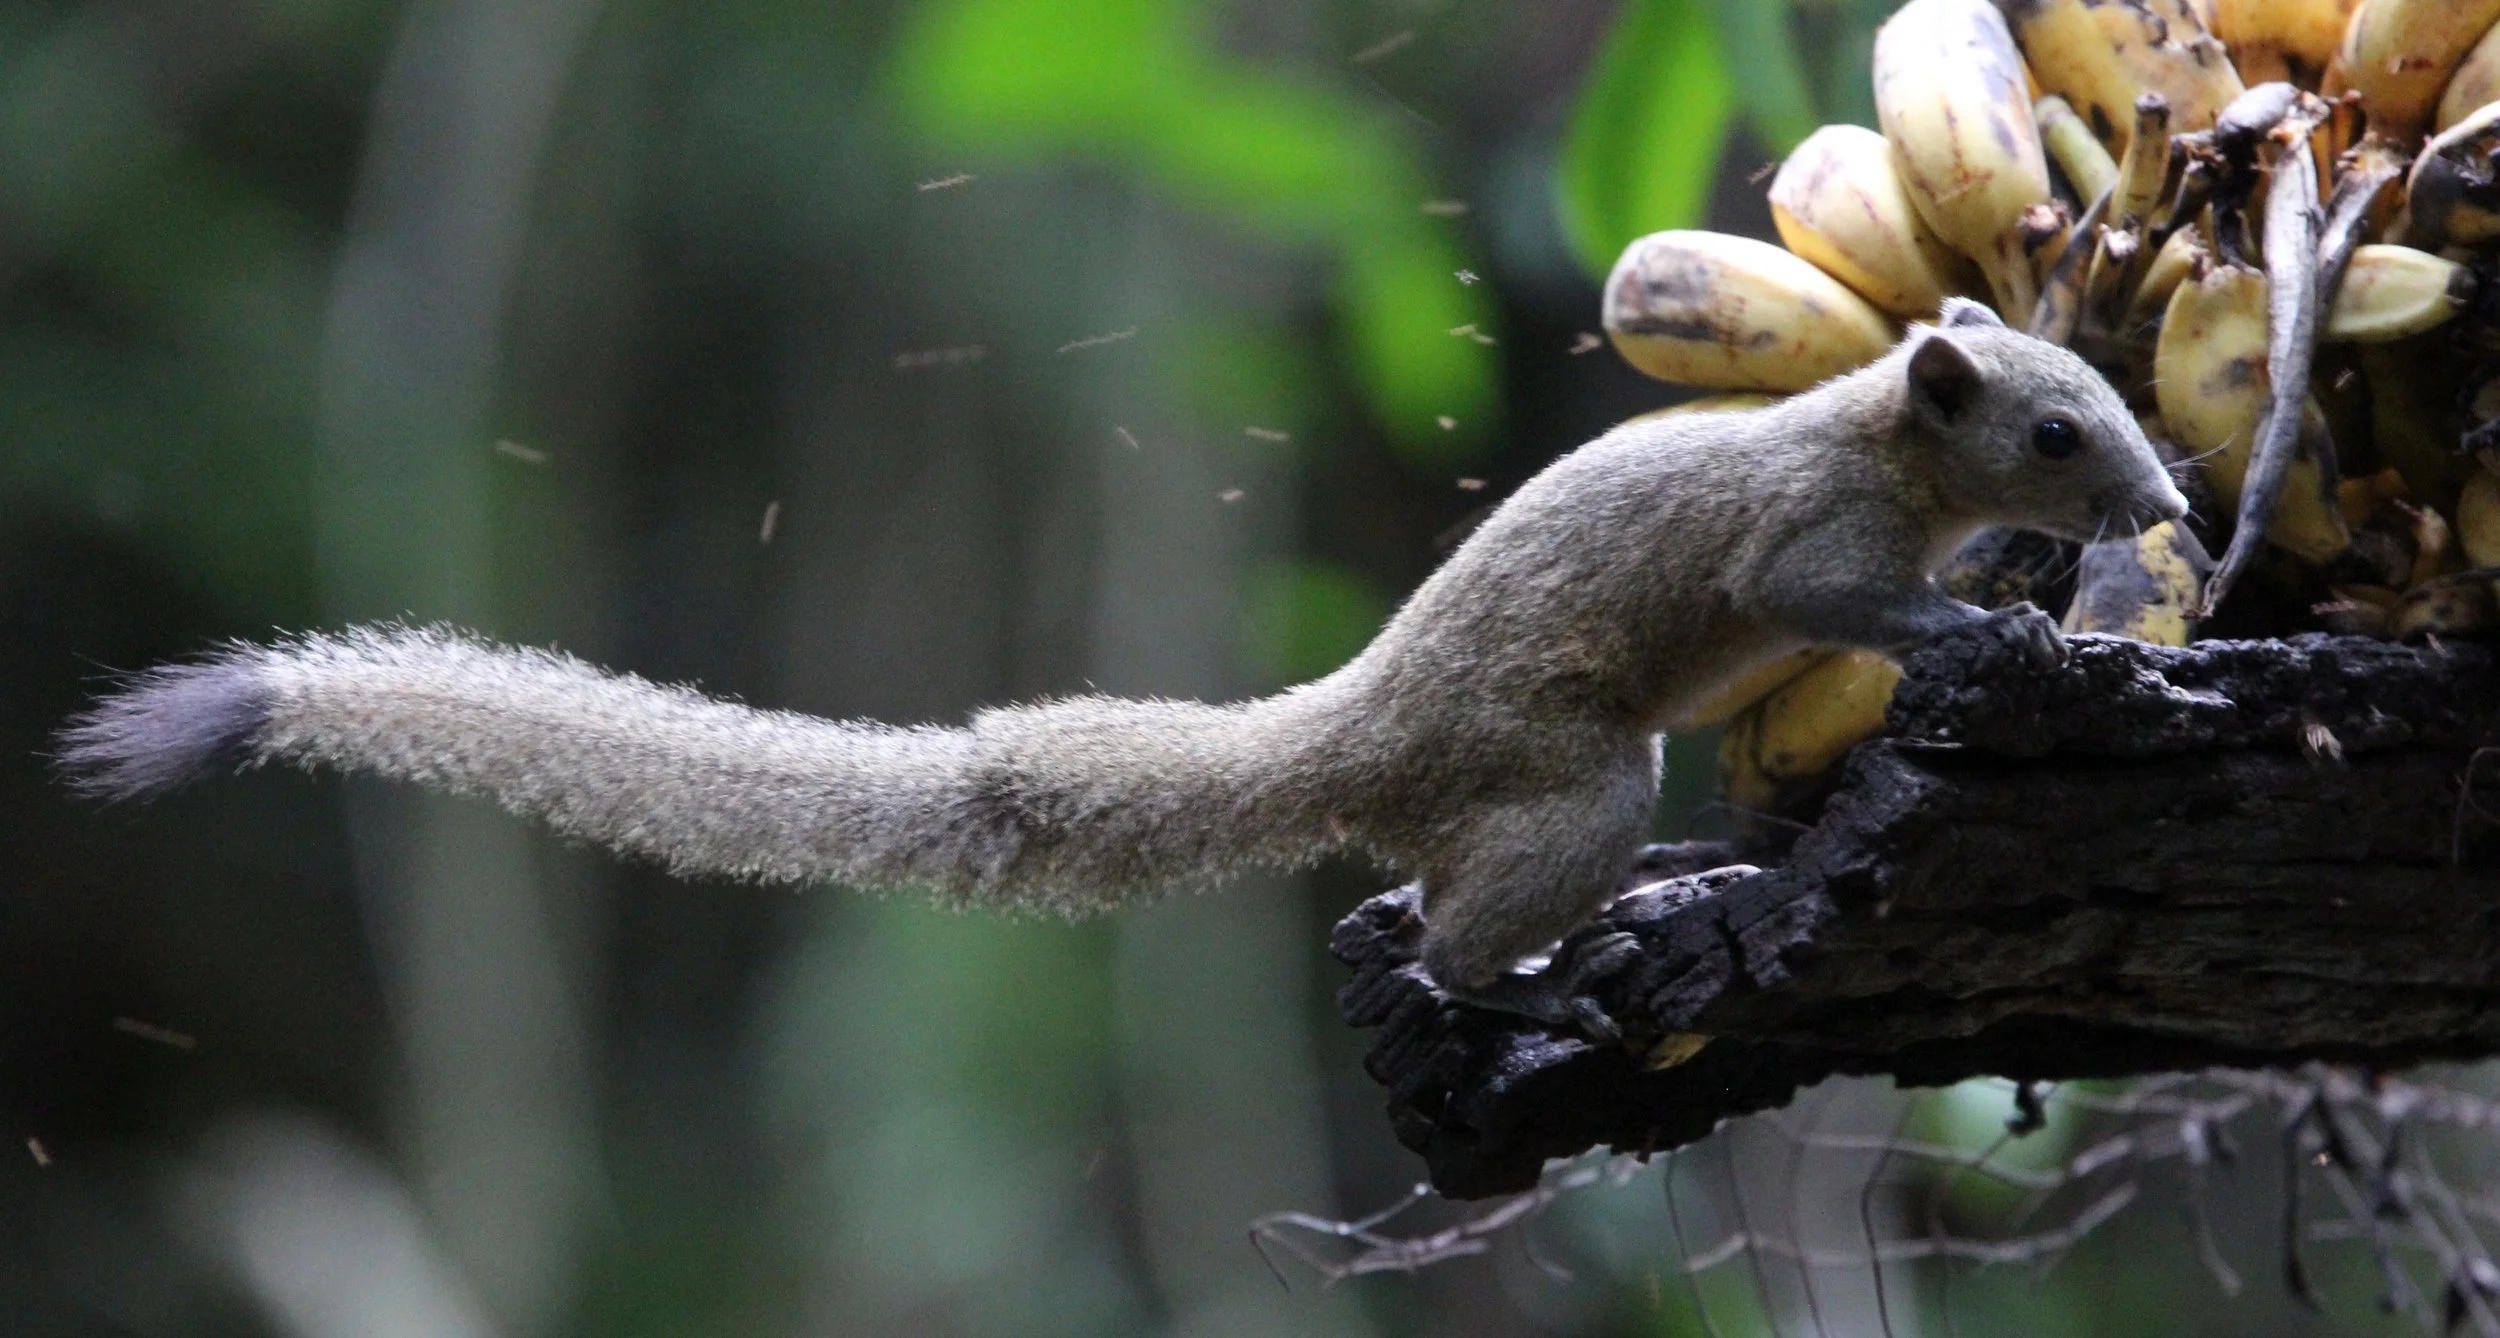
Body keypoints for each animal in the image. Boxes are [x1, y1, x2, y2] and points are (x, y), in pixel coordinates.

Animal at [57, 298, 2186, 1037]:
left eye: (2108, 390)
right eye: (2056, 425)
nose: (2166, 492)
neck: (1878, 439)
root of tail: (1354, 729)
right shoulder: (1802, 547)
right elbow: (1854, 601)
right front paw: (1991, 618)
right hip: (1576, 775)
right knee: (1443, 936)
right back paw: (1578, 960)